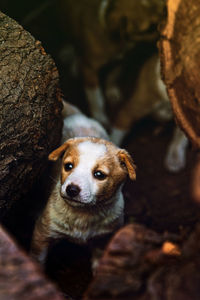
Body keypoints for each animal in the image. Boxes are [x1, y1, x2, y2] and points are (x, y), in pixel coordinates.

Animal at [30, 102, 136, 262]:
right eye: (68, 166)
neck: (84, 215)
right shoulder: (43, 233)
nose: (72, 189)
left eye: (99, 174)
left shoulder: (104, 239)